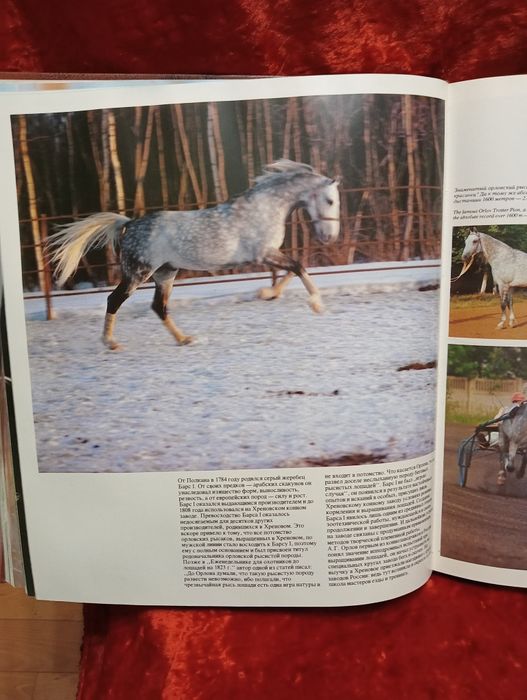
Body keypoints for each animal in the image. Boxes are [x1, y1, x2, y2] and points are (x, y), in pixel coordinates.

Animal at [48, 160, 340, 350]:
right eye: (330, 200)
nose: (330, 238)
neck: (265, 208)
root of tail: (129, 224)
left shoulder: (269, 255)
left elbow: (294, 269)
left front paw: (268, 293)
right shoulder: (263, 254)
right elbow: (298, 267)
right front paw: (317, 304)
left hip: (166, 273)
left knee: (159, 307)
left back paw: (185, 339)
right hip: (138, 272)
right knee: (114, 300)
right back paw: (110, 342)